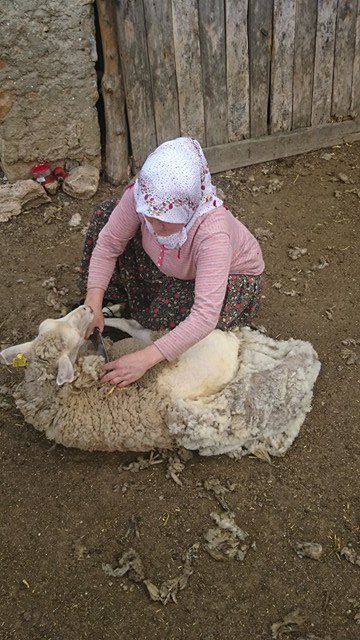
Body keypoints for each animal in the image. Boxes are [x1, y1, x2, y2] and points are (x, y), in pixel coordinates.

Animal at [0, 304, 320, 456]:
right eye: (72, 339)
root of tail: (231, 345)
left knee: (135, 324)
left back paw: (111, 312)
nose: (87, 309)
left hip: (160, 337)